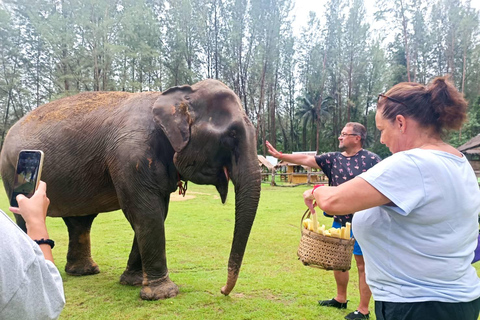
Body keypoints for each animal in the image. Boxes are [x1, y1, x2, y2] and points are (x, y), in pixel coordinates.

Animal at [0, 79, 260, 300]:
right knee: (27, 218)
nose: (223, 290)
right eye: (232, 134)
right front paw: (163, 294)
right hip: (10, 171)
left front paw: (134, 282)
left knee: (80, 221)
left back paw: (84, 271)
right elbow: (145, 212)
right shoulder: (129, 153)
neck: (174, 96)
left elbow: (156, 213)